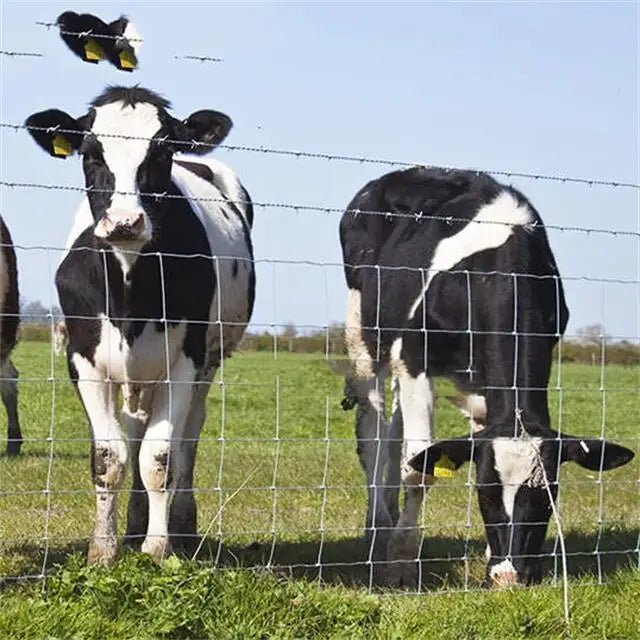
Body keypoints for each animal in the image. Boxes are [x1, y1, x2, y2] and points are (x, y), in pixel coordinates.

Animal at [25, 85, 255, 565]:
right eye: (90, 153)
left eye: (163, 152)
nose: (125, 222)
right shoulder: (83, 361)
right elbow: (110, 457)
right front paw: (104, 548)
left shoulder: (185, 362)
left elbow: (160, 457)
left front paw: (157, 547)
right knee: (134, 431)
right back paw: (133, 524)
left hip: (208, 361)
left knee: (188, 436)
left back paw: (181, 525)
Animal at [339, 166, 635, 587]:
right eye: (485, 493)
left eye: (547, 496)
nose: (510, 575)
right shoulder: (414, 357)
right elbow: (421, 466)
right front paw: (401, 561)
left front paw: (490, 556)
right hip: (366, 334)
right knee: (373, 430)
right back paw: (378, 527)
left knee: (395, 432)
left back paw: (391, 515)